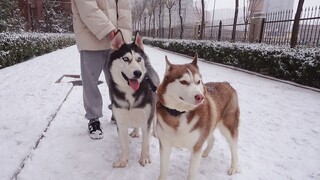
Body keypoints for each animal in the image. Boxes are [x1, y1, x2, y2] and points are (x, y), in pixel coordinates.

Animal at [109, 30, 159, 167]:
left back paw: (155, 132)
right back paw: (136, 131)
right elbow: (124, 145)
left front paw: (145, 158)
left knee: (154, 121)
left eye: (138, 59)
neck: (130, 93)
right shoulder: (120, 122)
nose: (138, 73)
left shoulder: (147, 119)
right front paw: (123, 160)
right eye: (125, 58)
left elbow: (145, 143)